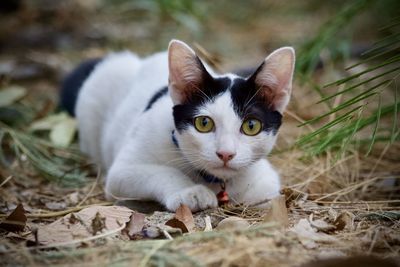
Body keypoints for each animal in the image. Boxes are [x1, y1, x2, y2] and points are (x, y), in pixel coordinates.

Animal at [61, 39, 296, 213]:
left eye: (251, 126)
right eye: (204, 123)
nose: (225, 154)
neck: (212, 179)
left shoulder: (265, 179)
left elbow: (266, 193)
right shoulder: (122, 172)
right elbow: (161, 171)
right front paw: (191, 192)